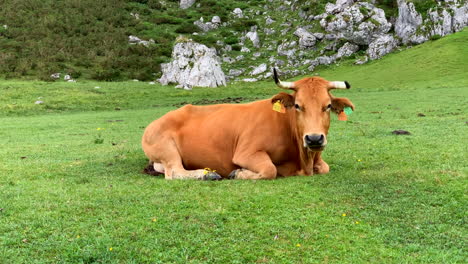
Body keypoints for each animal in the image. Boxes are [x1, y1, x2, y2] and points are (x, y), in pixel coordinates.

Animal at [141, 68, 352, 180]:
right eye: (298, 106)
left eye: (328, 106)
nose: (314, 139)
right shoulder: (246, 152)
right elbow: (269, 169)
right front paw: (237, 173)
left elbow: (325, 167)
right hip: (167, 149)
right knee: (174, 172)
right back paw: (208, 174)